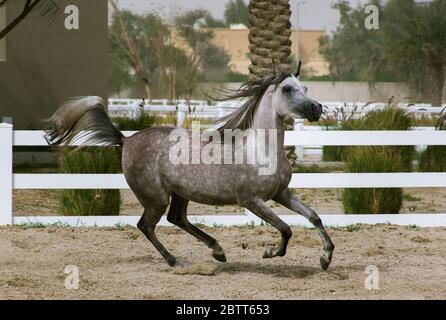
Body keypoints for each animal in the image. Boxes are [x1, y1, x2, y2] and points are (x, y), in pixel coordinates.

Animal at [45, 67, 334, 270]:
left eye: (305, 87)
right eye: (287, 89)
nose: (316, 108)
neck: (261, 149)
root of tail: (126, 140)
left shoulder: (281, 193)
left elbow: (314, 217)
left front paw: (326, 257)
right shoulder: (252, 200)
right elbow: (286, 229)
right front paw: (270, 252)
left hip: (180, 193)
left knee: (177, 219)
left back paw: (218, 251)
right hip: (156, 198)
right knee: (146, 226)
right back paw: (176, 261)